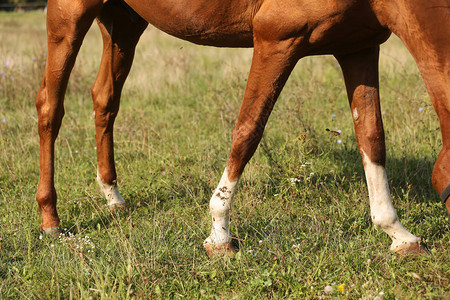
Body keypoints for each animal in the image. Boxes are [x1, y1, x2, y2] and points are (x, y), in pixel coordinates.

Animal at [37, 0, 448, 256]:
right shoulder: (277, 39)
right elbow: (248, 130)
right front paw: (219, 234)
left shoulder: (358, 47)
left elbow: (372, 138)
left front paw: (398, 234)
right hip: (69, 17)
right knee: (49, 108)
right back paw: (50, 220)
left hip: (123, 23)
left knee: (105, 100)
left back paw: (112, 196)